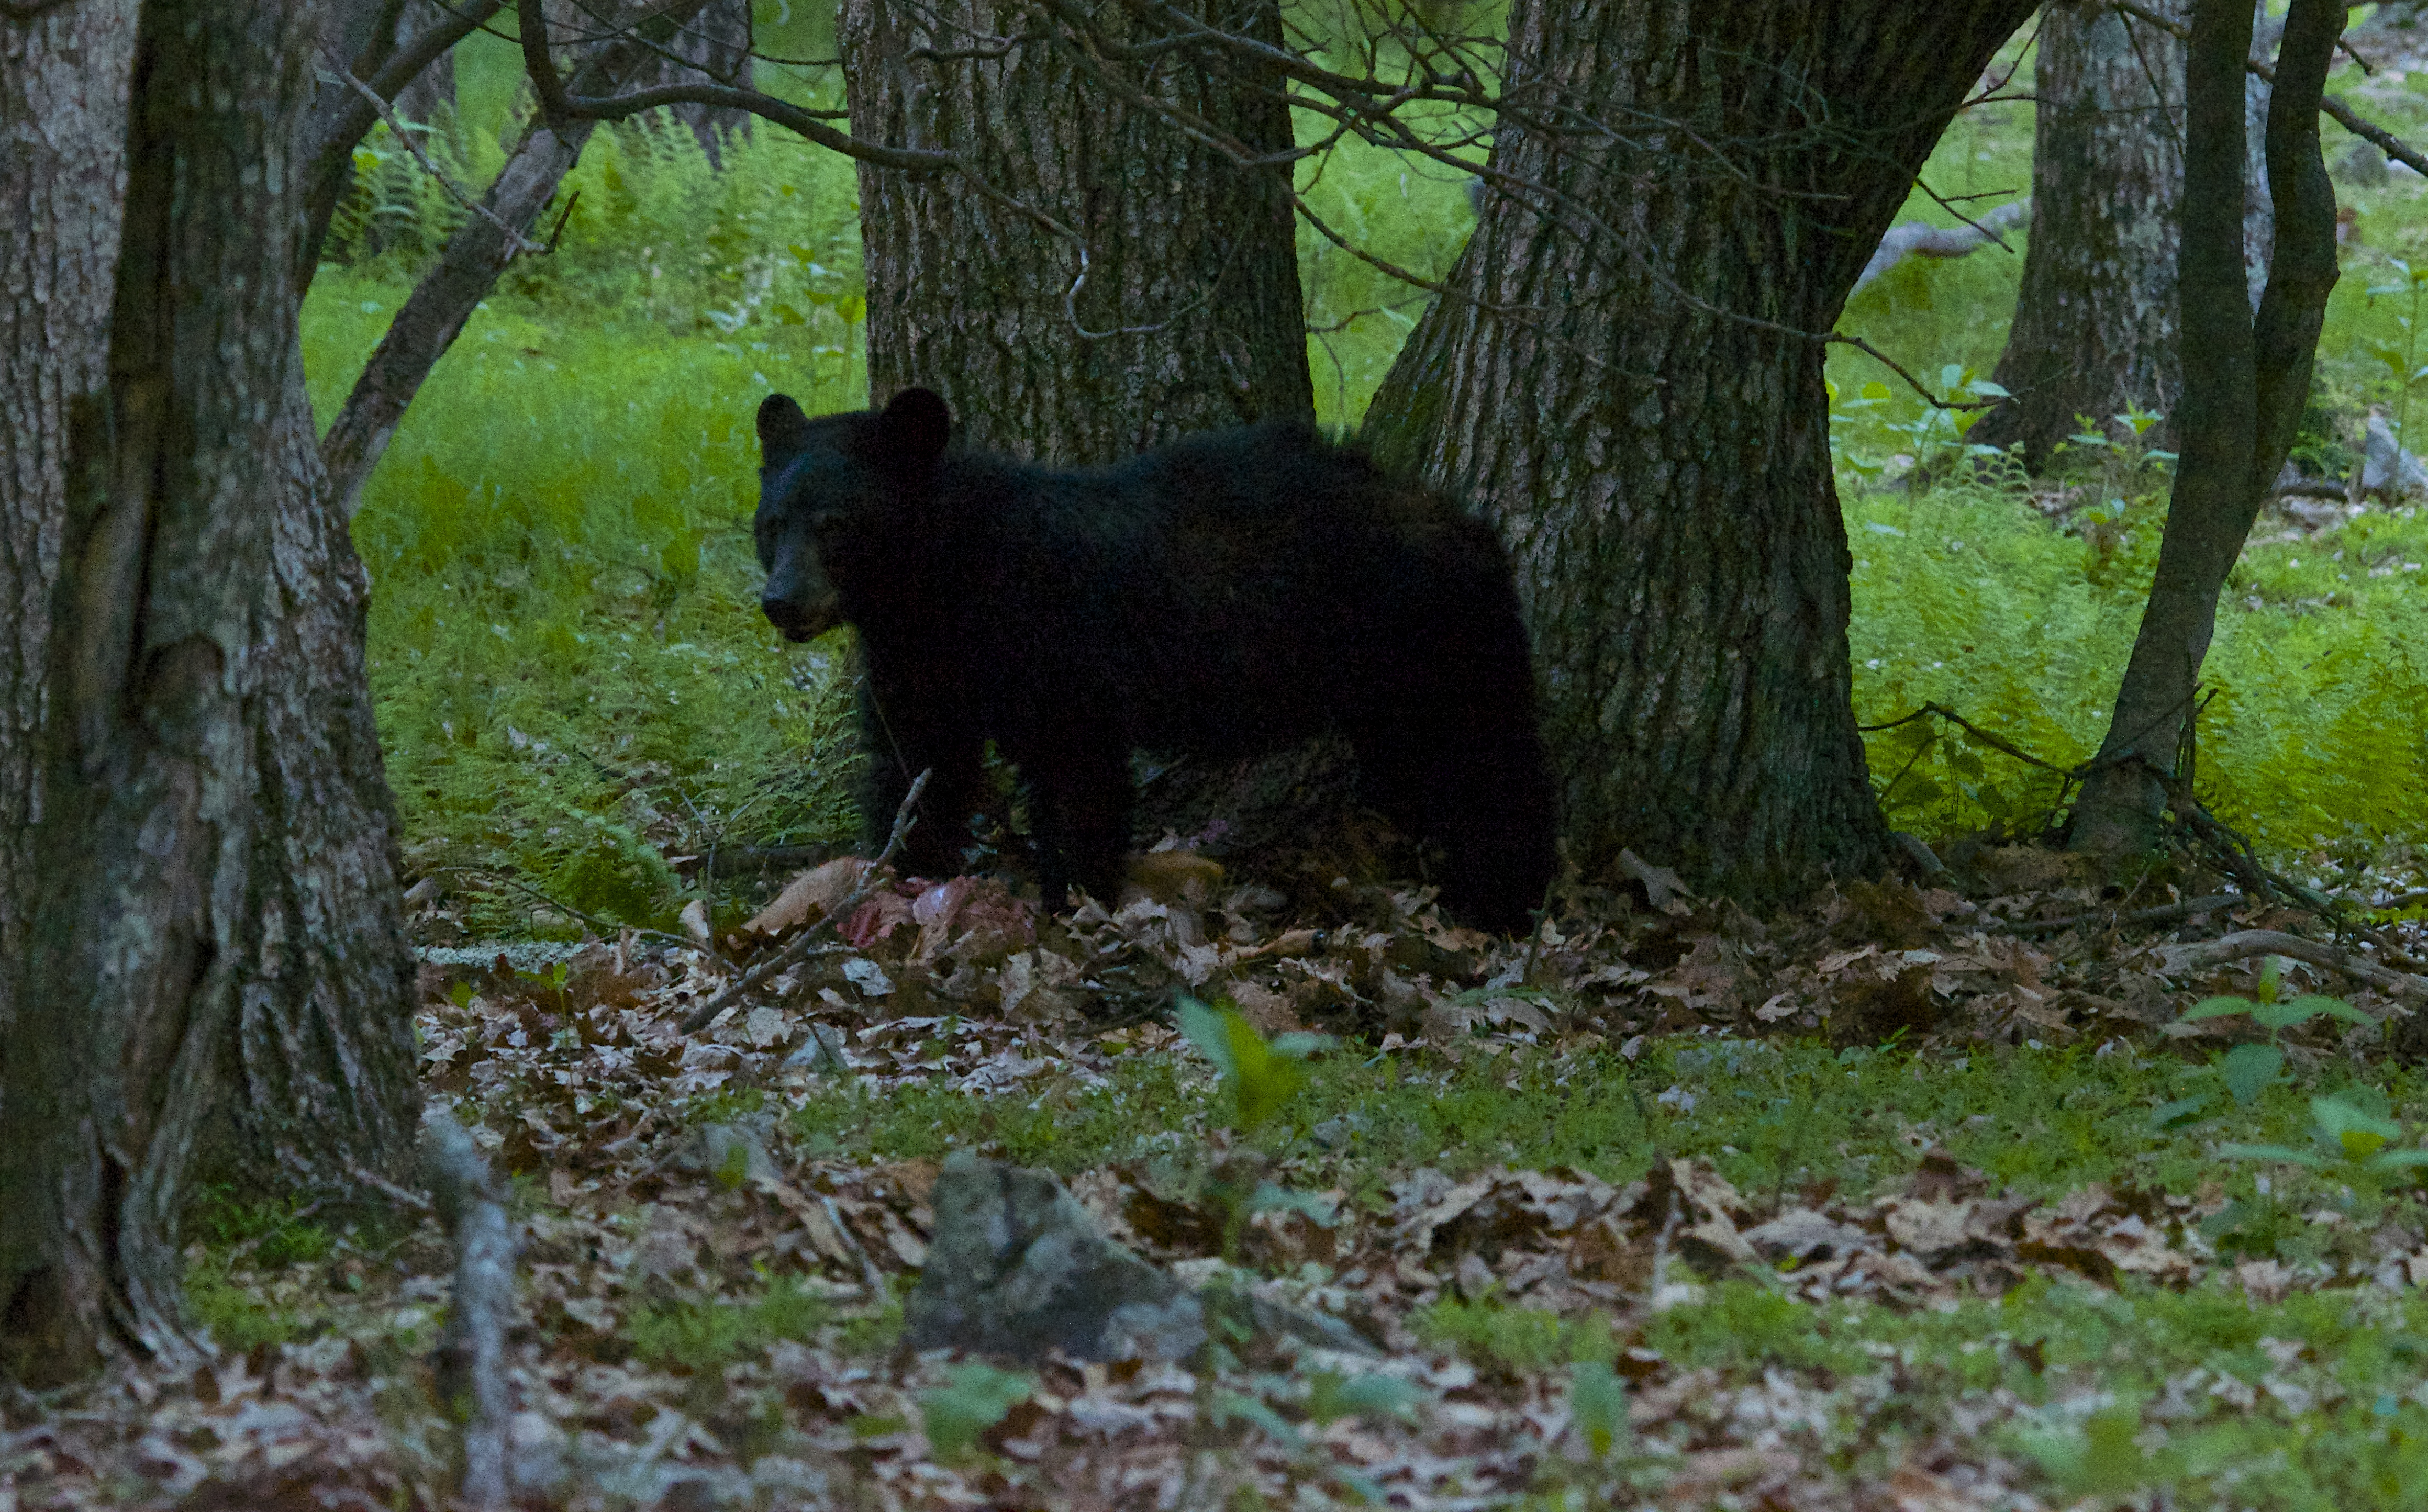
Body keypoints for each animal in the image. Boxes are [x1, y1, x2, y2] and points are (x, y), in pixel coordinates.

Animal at [748, 388, 1563, 936]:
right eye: (773, 522)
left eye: (837, 524)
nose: (782, 600)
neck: (943, 583)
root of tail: (1476, 532)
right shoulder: (921, 664)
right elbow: (916, 765)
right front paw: (902, 872)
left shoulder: (1059, 653)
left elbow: (1077, 778)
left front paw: (1073, 899)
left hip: (1436, 648)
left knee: (1491, 765)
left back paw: (1502, 897)